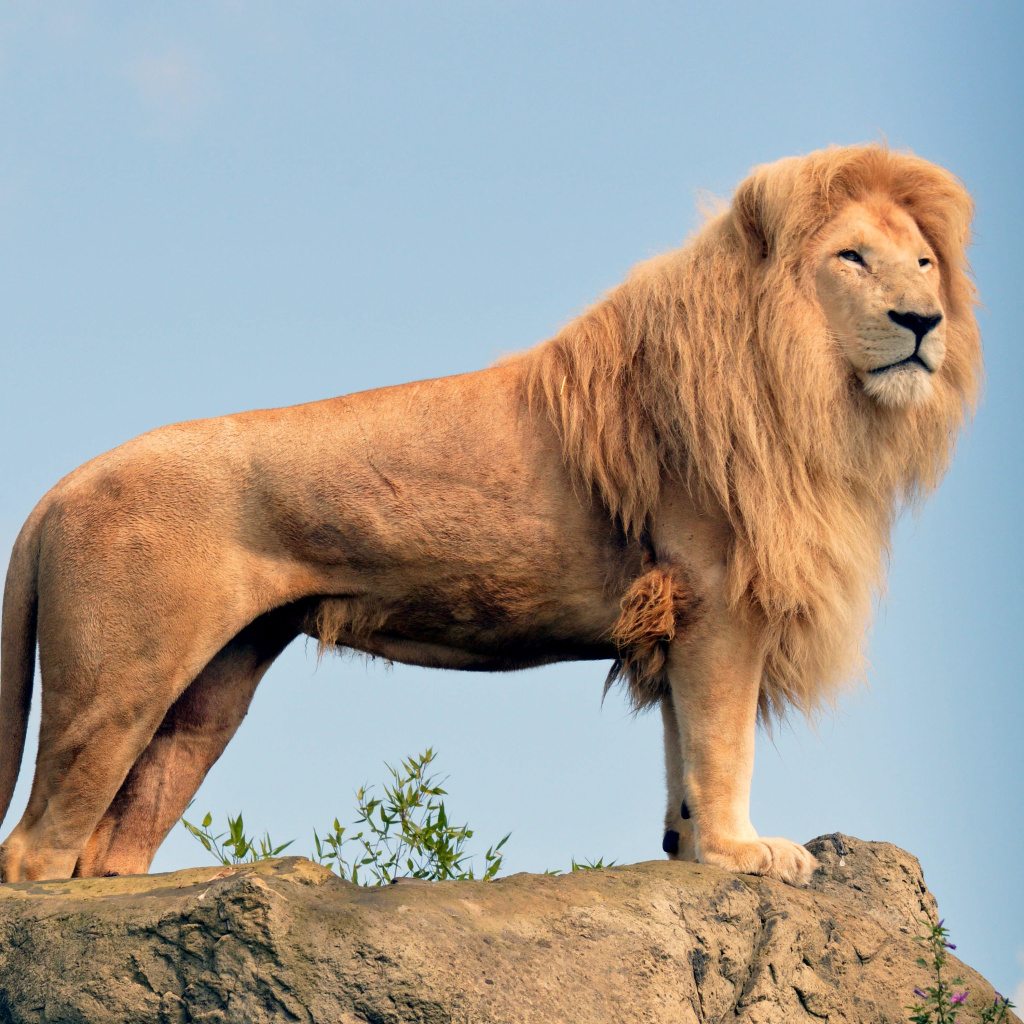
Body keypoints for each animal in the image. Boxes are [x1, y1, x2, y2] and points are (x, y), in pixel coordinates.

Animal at [0, 140, 978, 884]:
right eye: (852, 257)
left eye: (924, 263)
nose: (922, 320)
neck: (814, 393)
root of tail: (60, 486)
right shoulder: (717, 597)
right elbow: (719, 739)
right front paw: (744, 852)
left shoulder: (680, 616)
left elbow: (683, 752)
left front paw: (689, 847)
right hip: (118, 684)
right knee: (33, 851)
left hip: (212, 687)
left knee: (115, 838)